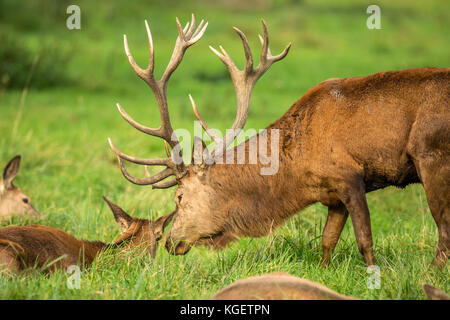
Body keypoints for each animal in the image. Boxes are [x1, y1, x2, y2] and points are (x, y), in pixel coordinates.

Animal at [107, 14, 448, 268]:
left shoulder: (350, 176)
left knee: (443, 228)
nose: (170, 242)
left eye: (179, 197)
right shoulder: (332, 193)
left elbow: (365, 240)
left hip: (432, 155)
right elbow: (327, 243)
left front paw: (373, 277)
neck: (297, 170)